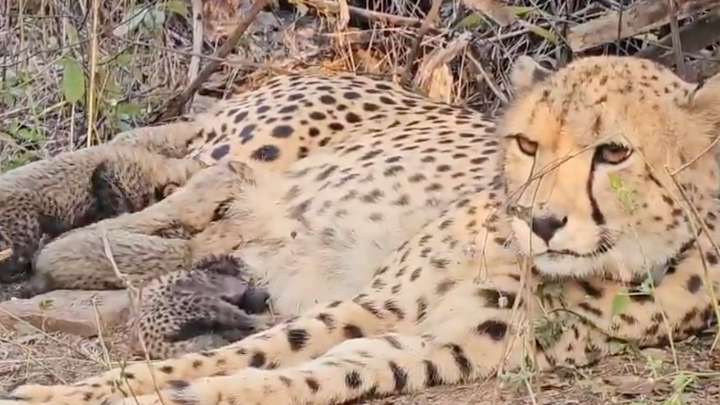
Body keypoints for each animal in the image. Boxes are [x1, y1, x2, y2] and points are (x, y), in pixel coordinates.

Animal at [4, 55, 720, 405]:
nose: (539, 221)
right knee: (160, 170)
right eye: (526, 144)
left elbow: (296, 377)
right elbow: (241, 353)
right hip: (253, 149)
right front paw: (73, 392)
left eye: (614, 152)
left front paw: (187, 393)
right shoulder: (379, 302)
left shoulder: (437, 346)